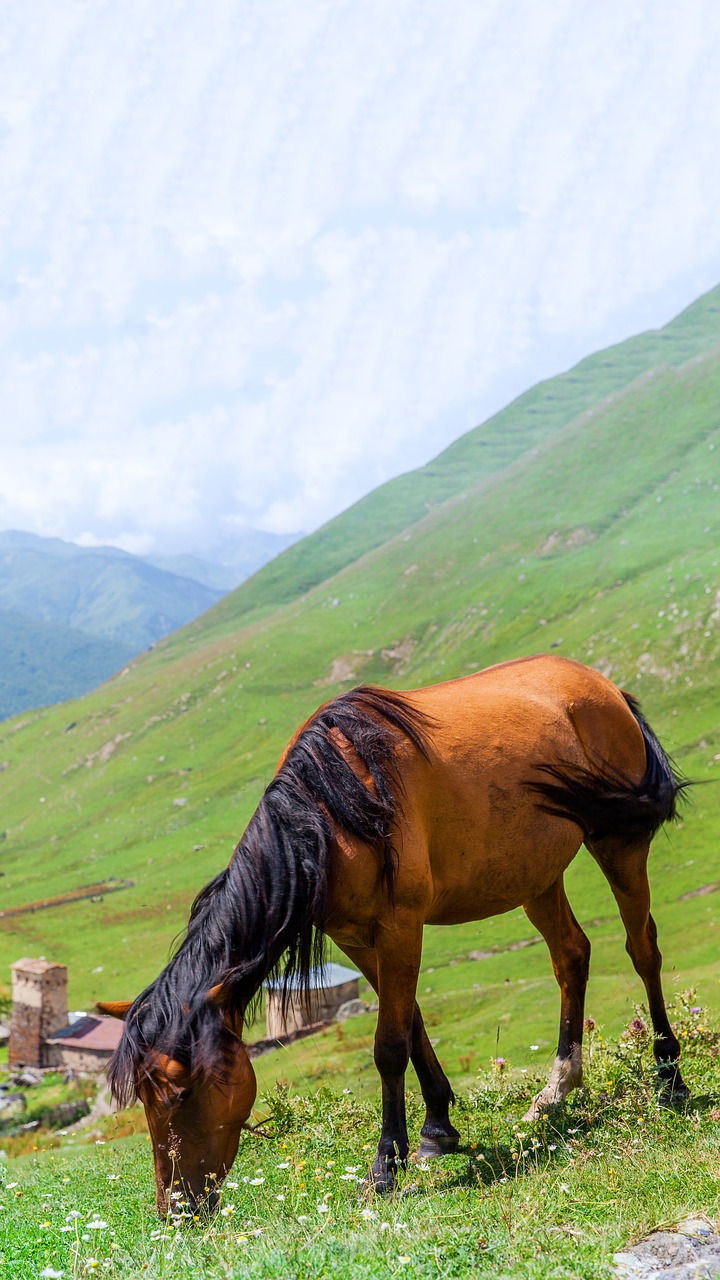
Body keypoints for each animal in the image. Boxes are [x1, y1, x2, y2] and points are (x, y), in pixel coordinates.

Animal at [98, 655, 686, 1213]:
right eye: (144, 1097)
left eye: (181, 1091)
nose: (176, 1209)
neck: (330, 814)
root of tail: (605, 688)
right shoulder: (356, 938)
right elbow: (412, 1022)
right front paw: (436, 1130)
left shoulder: (400, 926)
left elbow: (388, 1045)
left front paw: (384, 1167)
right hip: (536, 877)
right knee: (570, 955)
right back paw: (558, 1089)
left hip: (619, 844)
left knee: (643, 949)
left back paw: (669, 1079)